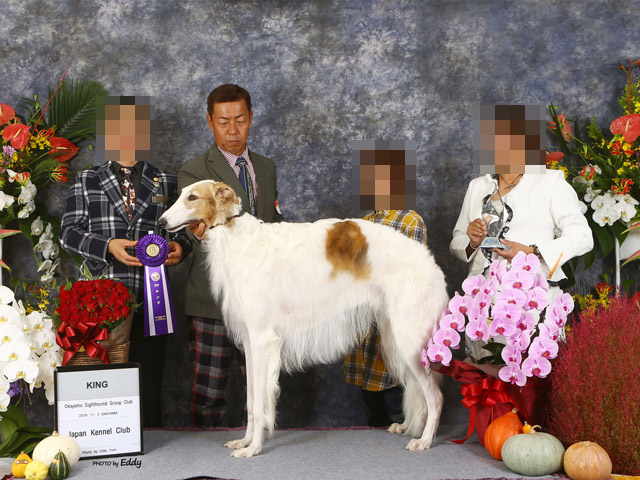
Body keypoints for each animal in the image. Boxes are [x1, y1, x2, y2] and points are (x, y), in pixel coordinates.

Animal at [159, 180, 449, 457]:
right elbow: (252, 402)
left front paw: (254, 448)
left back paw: (424, 441)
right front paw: (244, 441)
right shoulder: (251, 343)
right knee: (419, 392)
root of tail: (431, 262)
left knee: (435, 396)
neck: (237, 237)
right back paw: (410, 428)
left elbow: (260, 404)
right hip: (395, 336)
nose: (161, 222)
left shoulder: (262, 339)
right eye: (180, 193)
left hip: (410, 340)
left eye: (193, 197)